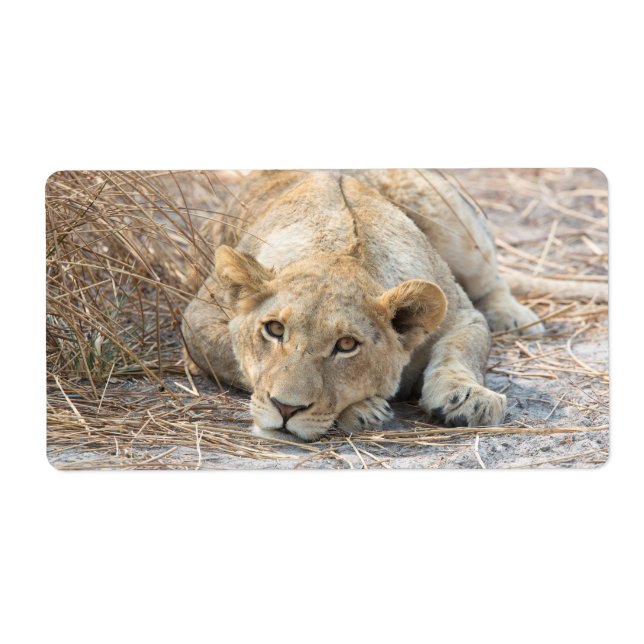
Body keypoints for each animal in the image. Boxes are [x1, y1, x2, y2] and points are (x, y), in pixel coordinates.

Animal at [181, 169, 545, 441]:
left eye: (346, 345)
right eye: (274, 329)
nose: (285, 408)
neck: (341, 249)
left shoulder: (463, 316)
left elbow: (462, 351)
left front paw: (470, 399)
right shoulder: (196, 320)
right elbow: (236, 362)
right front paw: (363, 409)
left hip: (456, 226)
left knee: (492, 278)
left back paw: (513, 317)